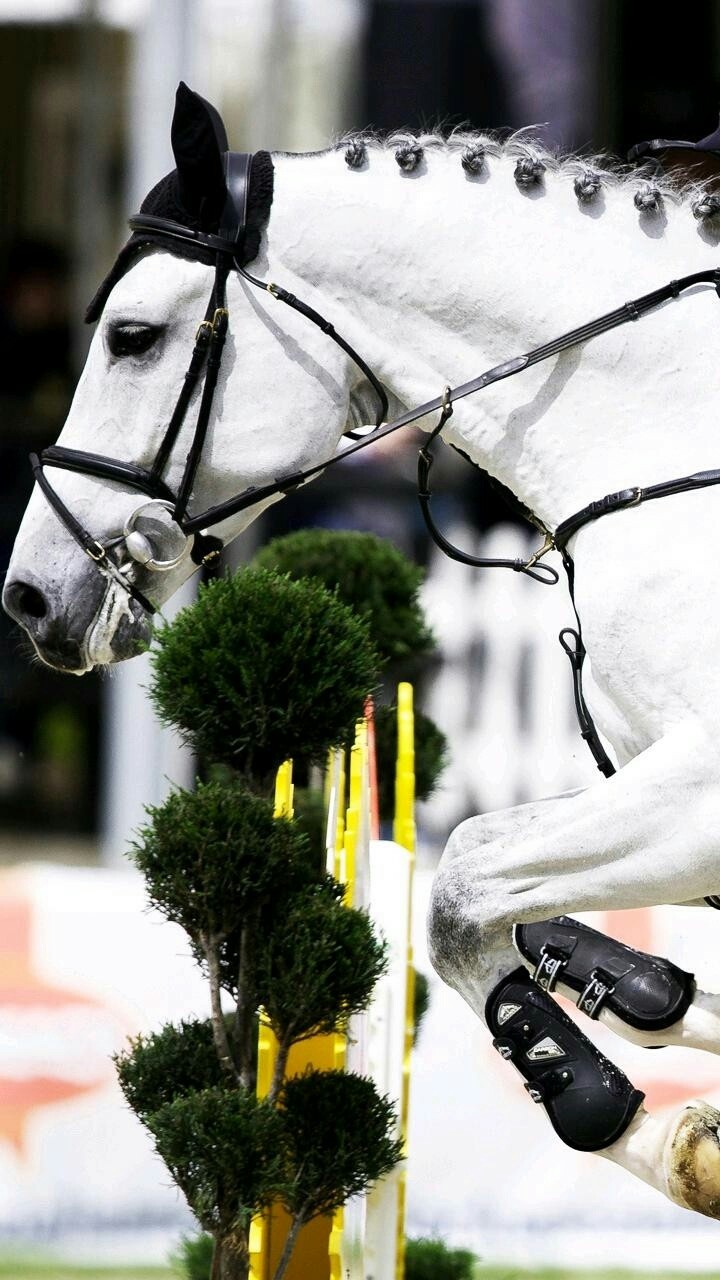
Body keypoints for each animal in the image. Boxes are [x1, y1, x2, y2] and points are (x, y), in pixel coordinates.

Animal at [6, 82, 720, 1220]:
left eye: (132, 336)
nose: (30, 596)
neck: (669, 432)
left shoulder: (701, 790)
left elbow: (462, 887)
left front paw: (626, 1116)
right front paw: (647, 1026)